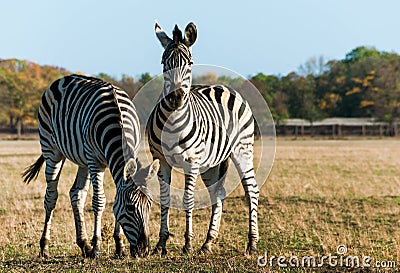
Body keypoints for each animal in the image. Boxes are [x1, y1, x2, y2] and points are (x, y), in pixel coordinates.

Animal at [21, 73, 159, 258]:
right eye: (130, 208)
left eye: (149, 204)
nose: (144, 251)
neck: (119, 124)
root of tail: (63, 78)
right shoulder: (95, 162)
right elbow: (99, 201)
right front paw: (97, 246)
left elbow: (115, 198)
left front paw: (119, 245)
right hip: (52, 150)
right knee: (51, 197)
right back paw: (45, 246)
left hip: (83, 160)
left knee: (76, 194)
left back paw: (84, 244)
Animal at [147, 22, 260, 254]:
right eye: (164, 63)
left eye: (190, 63)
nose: (175, 97)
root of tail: (224, 86)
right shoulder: (161, 160)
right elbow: (165, 198)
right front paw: (161, 244)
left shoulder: (192, 161)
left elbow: (187, 199)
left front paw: (187, 244)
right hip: (211, 163)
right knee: (218, 194)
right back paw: (208, 242)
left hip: (242, 149)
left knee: (251, 191)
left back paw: (252, 243)